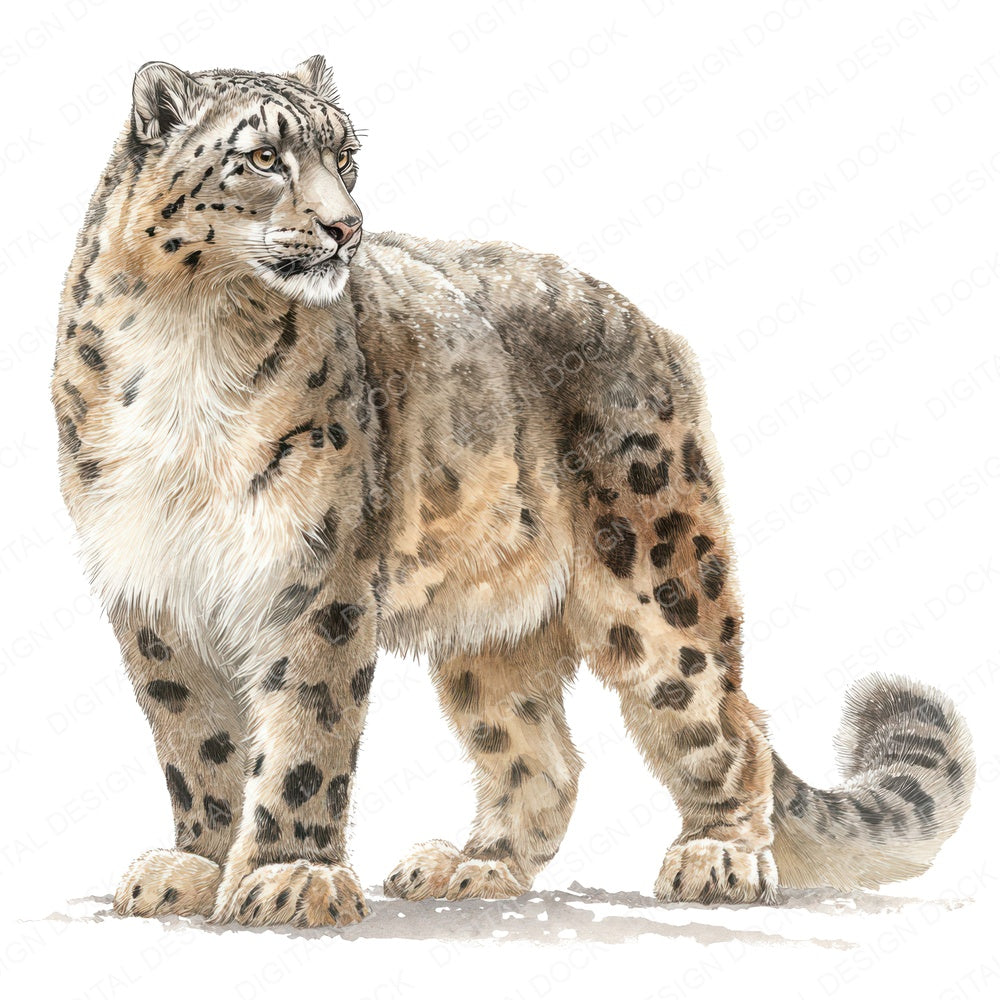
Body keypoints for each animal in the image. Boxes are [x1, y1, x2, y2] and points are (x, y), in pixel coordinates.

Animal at [52, 55, 975, 927]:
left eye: (346, 159)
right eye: (264, 158)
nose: (347, 226)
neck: (191, 339)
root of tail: (652, 331)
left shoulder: (317, 574)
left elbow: (308, 730)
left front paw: (289, 876)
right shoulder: (154, 584)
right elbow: (196, 741)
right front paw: (194, 866)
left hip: (659, 579)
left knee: (724, 717)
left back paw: (720, 856)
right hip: (490, 635)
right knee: (542, 757)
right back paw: (472, 865)